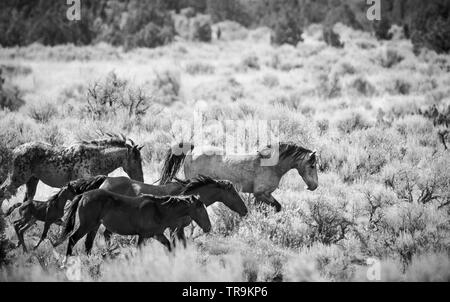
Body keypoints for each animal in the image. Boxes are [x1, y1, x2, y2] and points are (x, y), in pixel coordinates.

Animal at [0, 134, 144, 208]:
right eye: (136, 159)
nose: (141, 179)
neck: (96, 157)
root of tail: (14, 151)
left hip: (32, 181)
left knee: (27, 200)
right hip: (17, 179)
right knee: (3, 191)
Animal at [52, 190, 211, 256]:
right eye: (200, 208)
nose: (209, 227)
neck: (159, 209)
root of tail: (83, 195)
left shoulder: (157, 235)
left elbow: (170, 247)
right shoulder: (143, 236)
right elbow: (139, 251)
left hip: (94, 226)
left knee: (88, 244)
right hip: (87, 225)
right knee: (73, 239)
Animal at [160, 143, 318, 211]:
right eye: (312, 165)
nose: (314, 186)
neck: (271, 165)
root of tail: (193, 149)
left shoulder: (259, 196)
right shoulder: (261, 194)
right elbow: (277, 207)